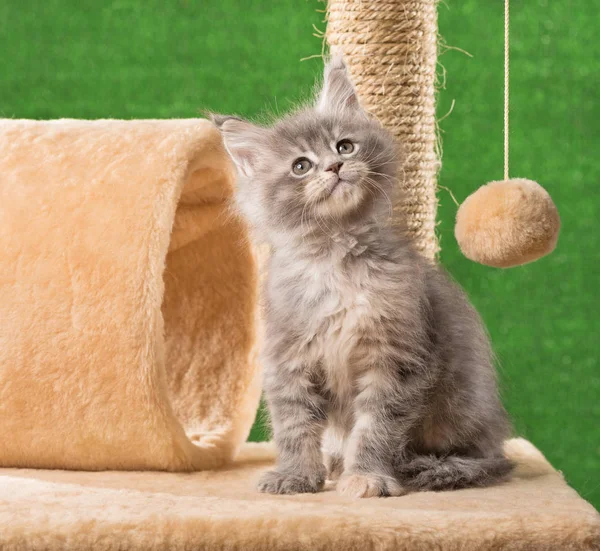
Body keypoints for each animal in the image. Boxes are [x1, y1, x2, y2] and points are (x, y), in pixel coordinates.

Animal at [211, 58, 510, 498]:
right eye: (301, 166)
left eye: (344, 146)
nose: (335, 167)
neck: (337, 258)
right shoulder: (289, 356)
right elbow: (294, 427)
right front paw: (296, 475)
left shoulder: (396, 356)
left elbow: (376, 427)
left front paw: (367, 476)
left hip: (461, 406)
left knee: (492, 458)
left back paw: (435, 468)